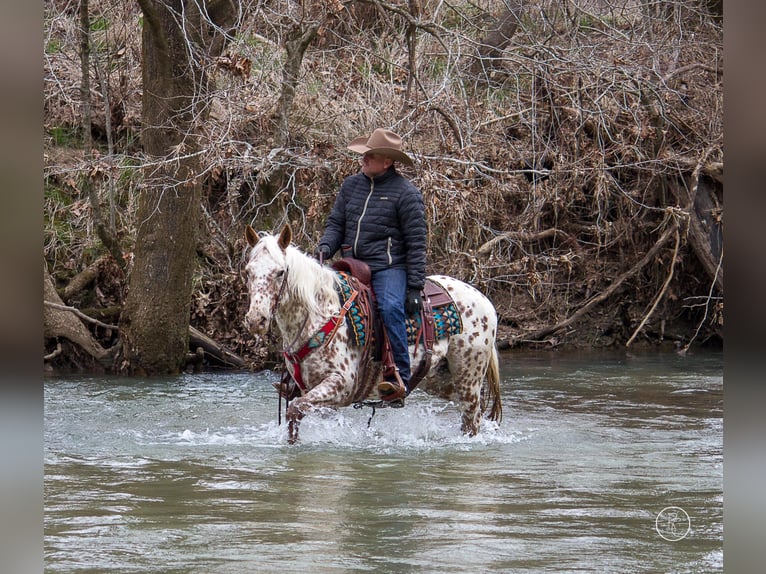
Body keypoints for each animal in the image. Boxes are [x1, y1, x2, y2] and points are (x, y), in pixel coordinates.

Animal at [242, 223, 504, 444]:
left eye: (280, 272)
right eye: (248, 271)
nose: (256, 319)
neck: (320, 315)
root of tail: (484, 300)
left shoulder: (342, 384)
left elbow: (294, 409)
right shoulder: (314, 391)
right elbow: (295, 418)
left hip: (469, 377)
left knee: (472, 419)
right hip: (441, 380)